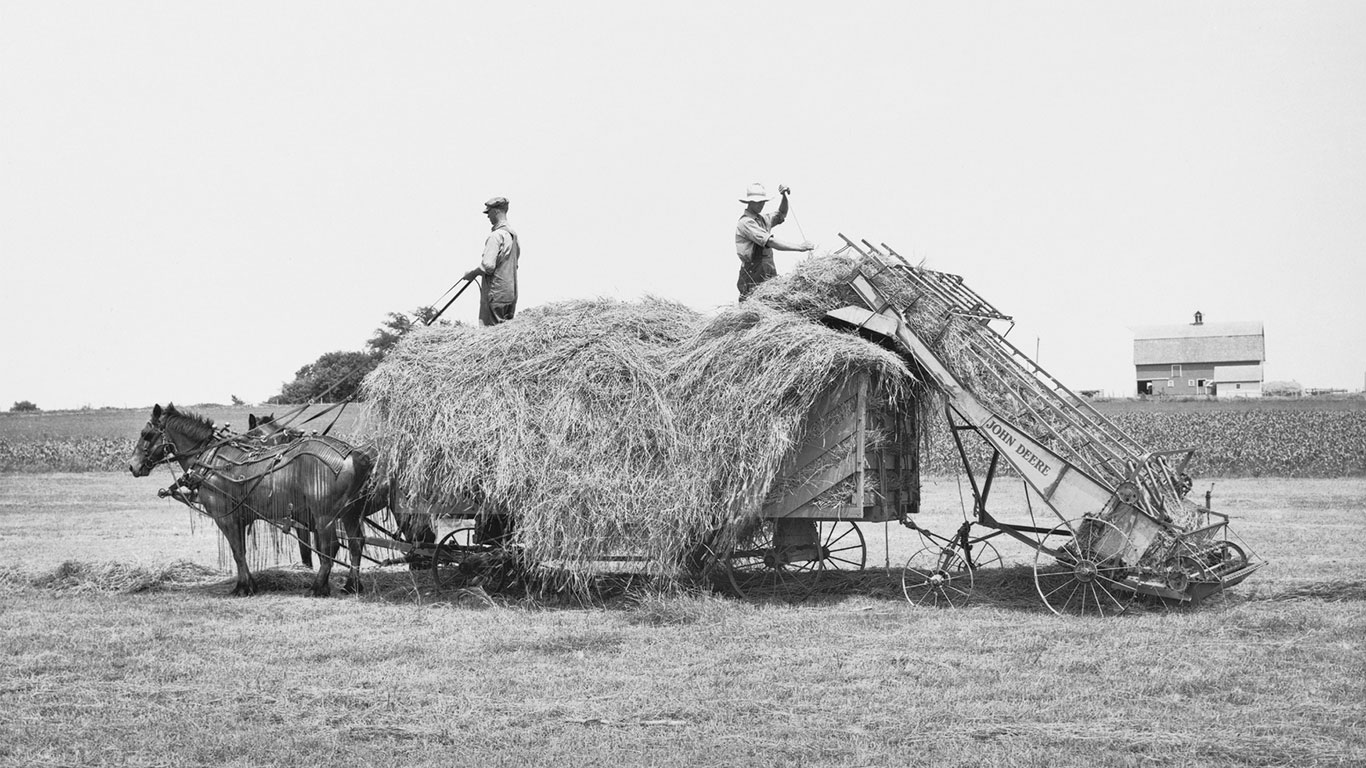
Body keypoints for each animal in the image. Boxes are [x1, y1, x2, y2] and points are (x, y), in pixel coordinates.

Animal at [129, 404, 371, 595]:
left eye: (146, 434)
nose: (132, 465)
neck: (210, 461)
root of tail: (355, 456)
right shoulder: (240, 518)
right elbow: (242, 551)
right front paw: (249, 584)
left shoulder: (225, 517)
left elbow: (237, 551)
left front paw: (243, 587)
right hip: (351, 513)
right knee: (356, 543)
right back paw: (352, 585)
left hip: (325, 514)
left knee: (330, 546)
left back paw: (318, 588)